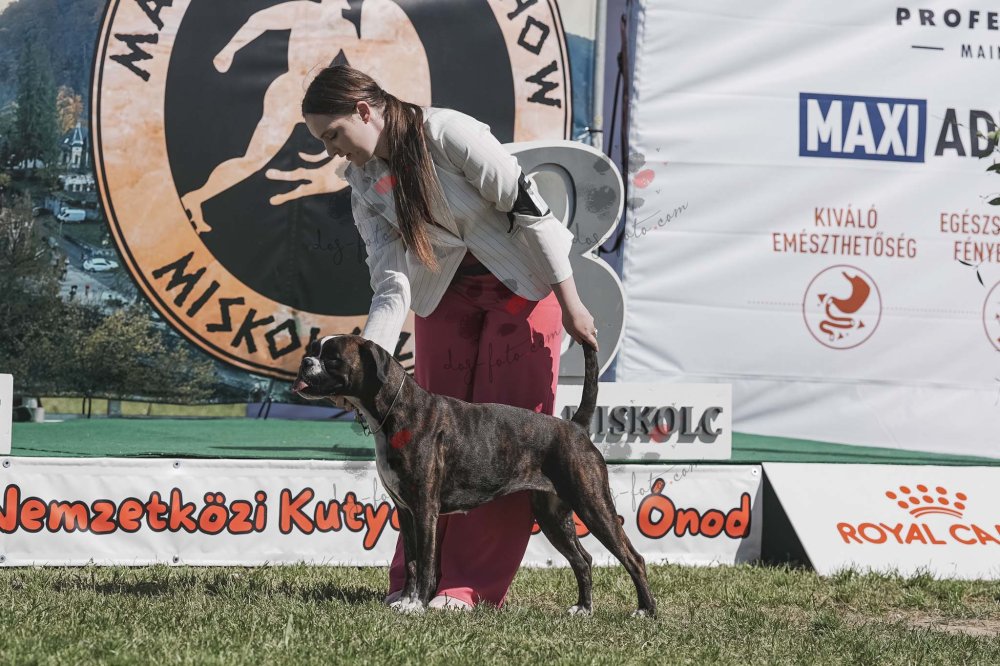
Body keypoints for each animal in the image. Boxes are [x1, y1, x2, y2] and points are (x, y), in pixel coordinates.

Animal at [292, 334, 655, 616]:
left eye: (332, 358)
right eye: (314, 350)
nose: (305, 361)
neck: (397, 410)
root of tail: (575, 425)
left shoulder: (426, 511)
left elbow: (426, 563)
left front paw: (417, 606)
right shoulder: (406, 512)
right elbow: (411, 563)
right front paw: (406, 602)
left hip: (593, 506)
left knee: (633, 558)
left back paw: (645, 611)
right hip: (553, 517)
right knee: (583, 560)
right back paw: (583, 609)